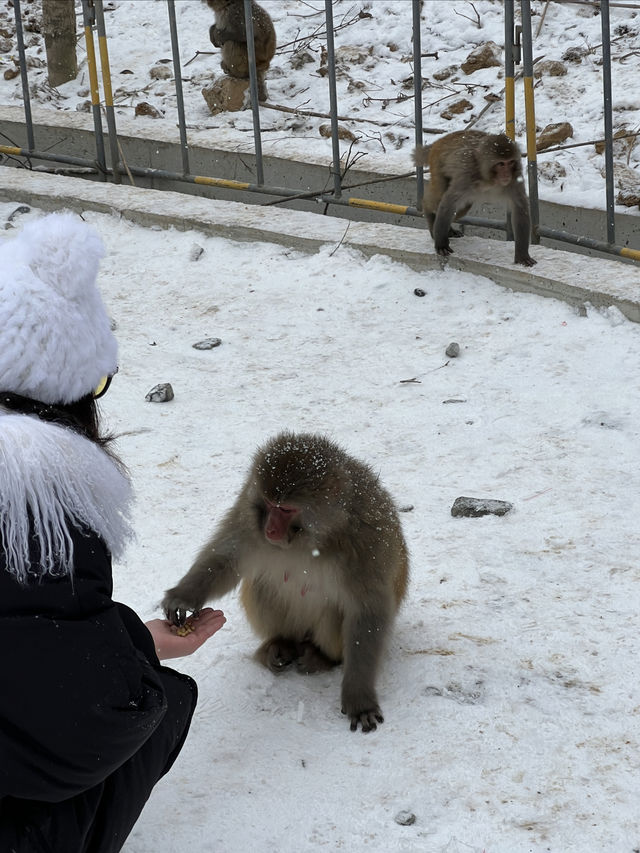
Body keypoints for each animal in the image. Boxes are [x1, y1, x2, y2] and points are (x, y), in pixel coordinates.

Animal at [162, 432, 408, 732]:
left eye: (286, 508)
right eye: (268, 504)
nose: (269, 529)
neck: (312, 539)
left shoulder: (365, 543)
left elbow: (367, 612)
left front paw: (359, 698)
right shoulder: (249, 511)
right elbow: (226, 557)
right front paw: (183, 596)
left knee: (334, 612)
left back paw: (322, 658)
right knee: (263, 586)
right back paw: (280, 645)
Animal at [416, 130, 536, 266]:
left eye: (510, 162)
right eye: (501, 164)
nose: (506, 175)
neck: (489, 178)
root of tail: (440, 140)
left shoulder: (515, 178)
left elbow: (519, 208)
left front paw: (522, 256)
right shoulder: (467, 174)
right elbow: (449, 201)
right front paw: (441, 244)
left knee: (463, 207)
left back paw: (448, 229)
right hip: (437, 163)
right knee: (440, 197)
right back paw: (430, 215)